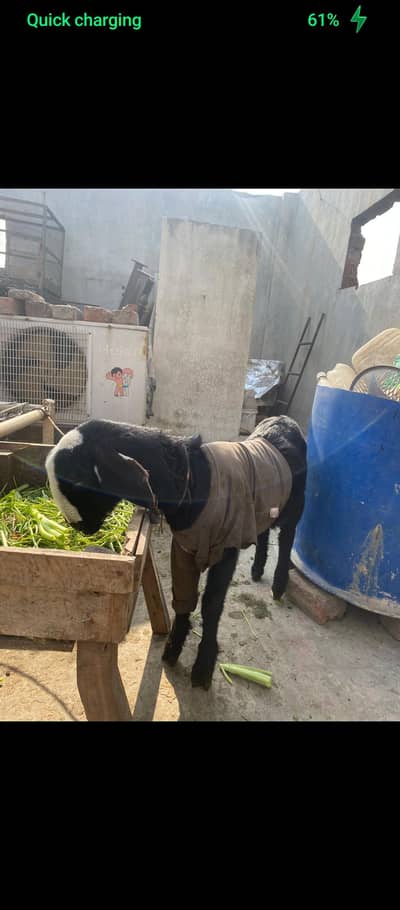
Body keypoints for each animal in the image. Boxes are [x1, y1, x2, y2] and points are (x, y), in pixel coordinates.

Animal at [45, 415, 307, 690]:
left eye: (79, 481)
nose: (76, 526)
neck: (192, 480)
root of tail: (283, 419)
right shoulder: (184, 547)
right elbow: (182, 597)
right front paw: (172, 649)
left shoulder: (226, 547)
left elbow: (211, 604)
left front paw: (203, 667)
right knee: (264, 530)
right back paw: (257, 569)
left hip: (295, 507)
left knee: (287, 539)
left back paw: (278, 585)